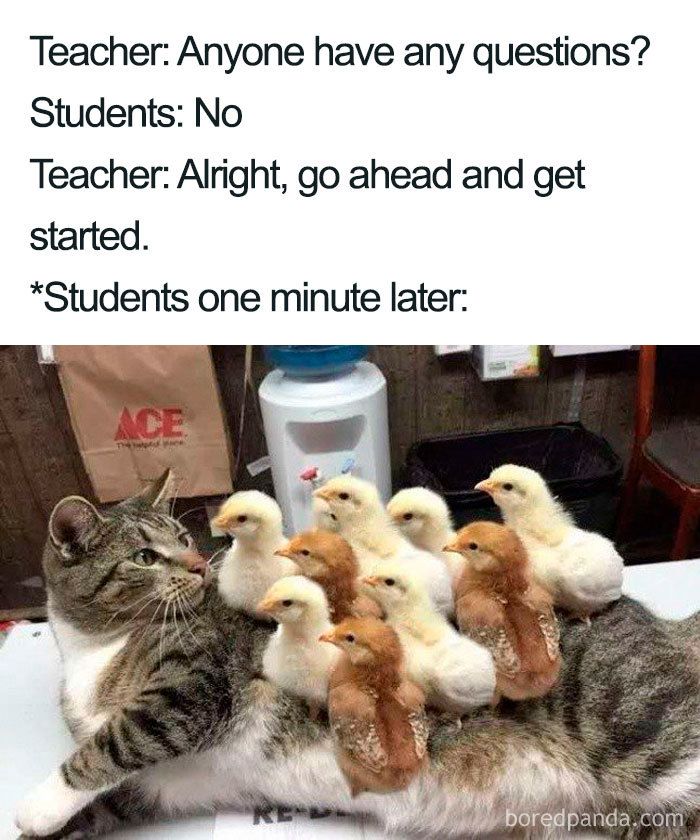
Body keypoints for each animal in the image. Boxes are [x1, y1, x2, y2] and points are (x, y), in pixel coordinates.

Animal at [13, 470, 700, 836]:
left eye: (180, 537)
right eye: (144, 557)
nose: (197, 564)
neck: (94, 649)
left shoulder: (190, 691)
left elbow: (107, 747)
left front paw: (35, 806)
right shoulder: (160, 787)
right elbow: (104, 792)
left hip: (651, 740)